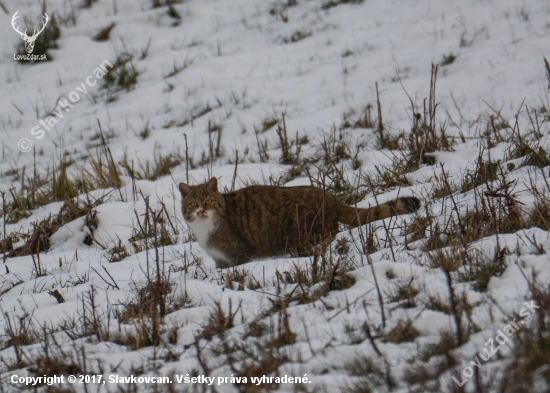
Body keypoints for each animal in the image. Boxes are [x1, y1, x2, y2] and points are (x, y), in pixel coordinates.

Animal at [179, 177, 420, 266]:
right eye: (193, 204)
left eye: (209, 201)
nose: (201, 209)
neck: (204, 229)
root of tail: (330, 197)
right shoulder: (220, 260)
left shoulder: (237, 255)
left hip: (306, 229)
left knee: (331, 234)